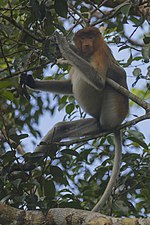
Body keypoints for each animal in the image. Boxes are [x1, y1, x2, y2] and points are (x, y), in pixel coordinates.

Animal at [19, 27, 128, 212]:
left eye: (90, 37)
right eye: (83, 37)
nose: (86, 43)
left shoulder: (102, 52)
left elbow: (99, 81)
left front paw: (63, 44)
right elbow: (69, 86)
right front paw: (30, 81)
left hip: (114, 111)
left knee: (112, 80)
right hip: (93, 123)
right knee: (61, 128)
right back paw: (26, 166)